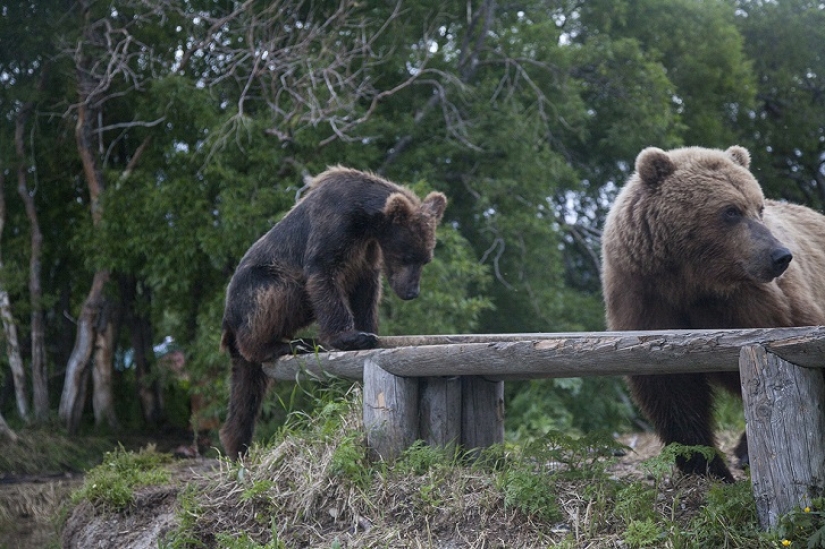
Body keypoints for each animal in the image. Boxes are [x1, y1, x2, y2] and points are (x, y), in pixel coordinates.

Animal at [219, 166, 447, 459]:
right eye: (406, 256)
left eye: (425, 259)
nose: (411, 291)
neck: (365, 219)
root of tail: (229, 319)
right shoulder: (334, 226)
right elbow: (324, 272)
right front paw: (349, 336)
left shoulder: (367, 250)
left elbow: (366, 290)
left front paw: (369, 330)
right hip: (259, 284)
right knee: (279, 294)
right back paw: (282, 344)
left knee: (246, 394)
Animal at [601, 145, 825, 482]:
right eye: (731, 211)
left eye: (759, 207)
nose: (780, 256)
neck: (693, 282)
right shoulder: (645, 299)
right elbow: (671, 389)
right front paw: (705, 468)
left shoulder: (761, 304)